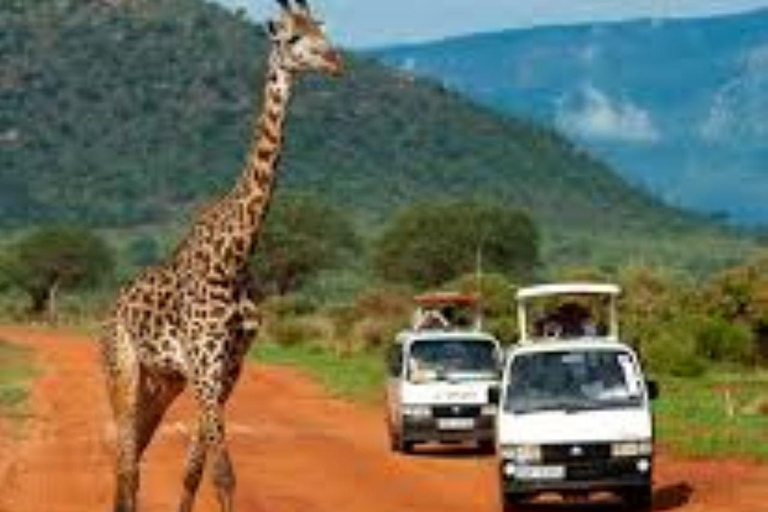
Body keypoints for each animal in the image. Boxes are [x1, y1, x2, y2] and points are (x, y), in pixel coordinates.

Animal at [99, 2, 342, 510]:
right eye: (291, 38)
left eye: (320, 28)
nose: (335, 61)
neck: (235, 257)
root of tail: (109, 311)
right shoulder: (205, 364)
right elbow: (224, 473)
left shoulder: (228, 367)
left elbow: (196, 470)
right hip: (122, 370)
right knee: (126, 460)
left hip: (162, 382)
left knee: (132, 458)